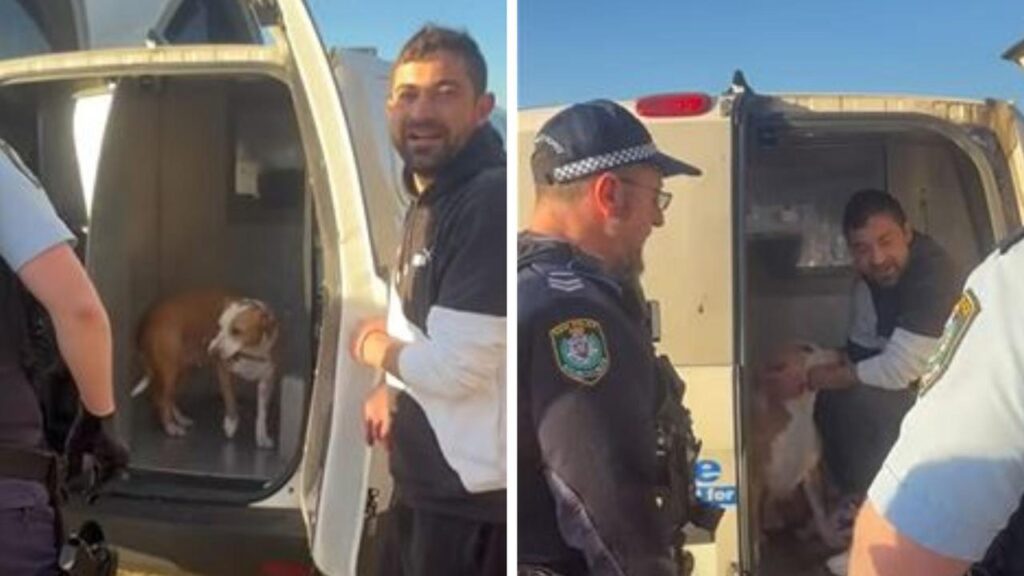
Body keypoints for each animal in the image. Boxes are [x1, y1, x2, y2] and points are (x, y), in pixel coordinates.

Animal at [134, 286, 284, 448]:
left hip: (184, 371)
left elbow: (262, 413)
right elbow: (230, 399)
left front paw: (262, 437)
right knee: (161, 399)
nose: (212, 351)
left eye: (237, 331)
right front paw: (231, 424)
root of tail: (148, 316)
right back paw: (171, 427)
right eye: (219, 327)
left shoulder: (267, 381)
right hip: (169, 372)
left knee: (169, 398)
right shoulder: (224, 371)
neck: (250, 352)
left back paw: (180, 419)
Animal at [753, 340, 847, 545]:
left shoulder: (812, 473)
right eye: (806, 349)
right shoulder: (756, 479)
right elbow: (753, 512)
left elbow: (820, 511)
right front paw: (757, 538)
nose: (841, 351)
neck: (799, 414)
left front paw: (830, 537)